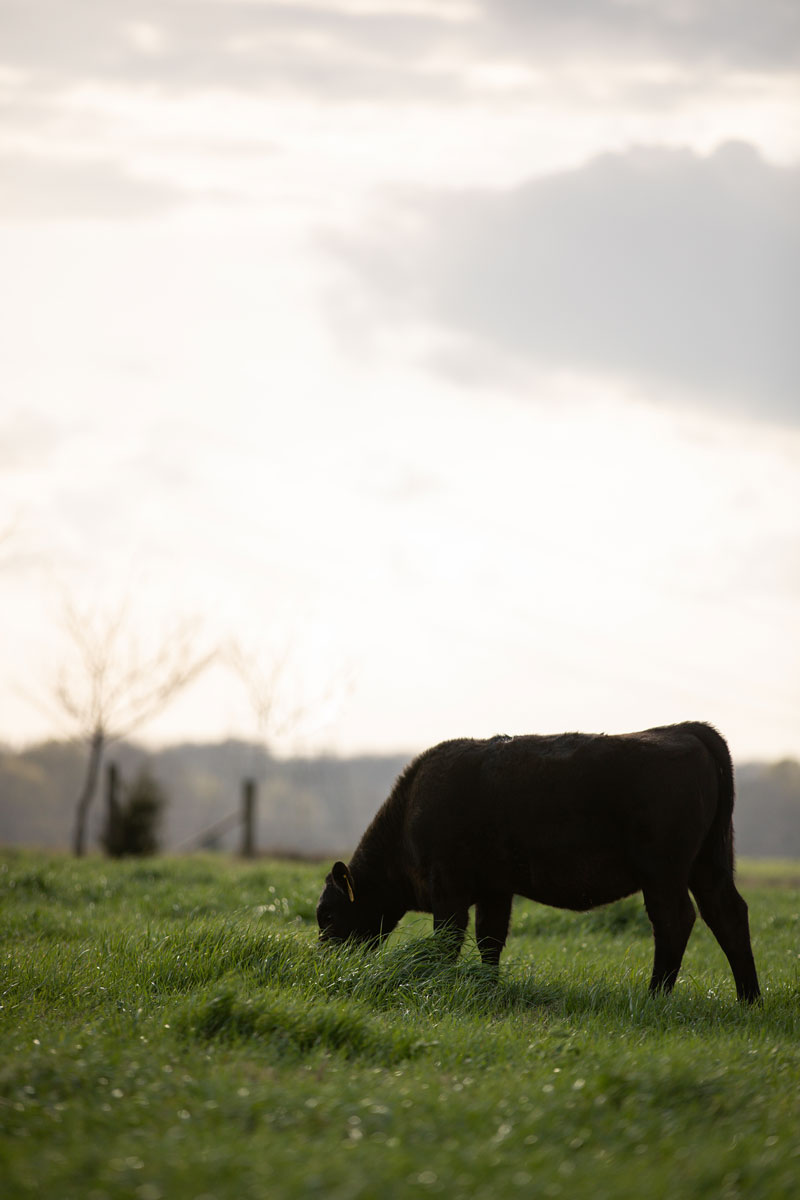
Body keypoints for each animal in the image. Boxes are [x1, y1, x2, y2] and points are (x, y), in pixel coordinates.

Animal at [316, 720, 762, 1003]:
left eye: (327, 915)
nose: (326, 966)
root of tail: (686, 729)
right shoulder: (495, 889)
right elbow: (490, 940)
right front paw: (487, 988)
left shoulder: (448, 888)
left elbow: (447, 941)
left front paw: (440, 984)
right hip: (710, 863)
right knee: (728, 913)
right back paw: (749, 998)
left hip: (664, 871)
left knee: (675, 919)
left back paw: (656, 996)